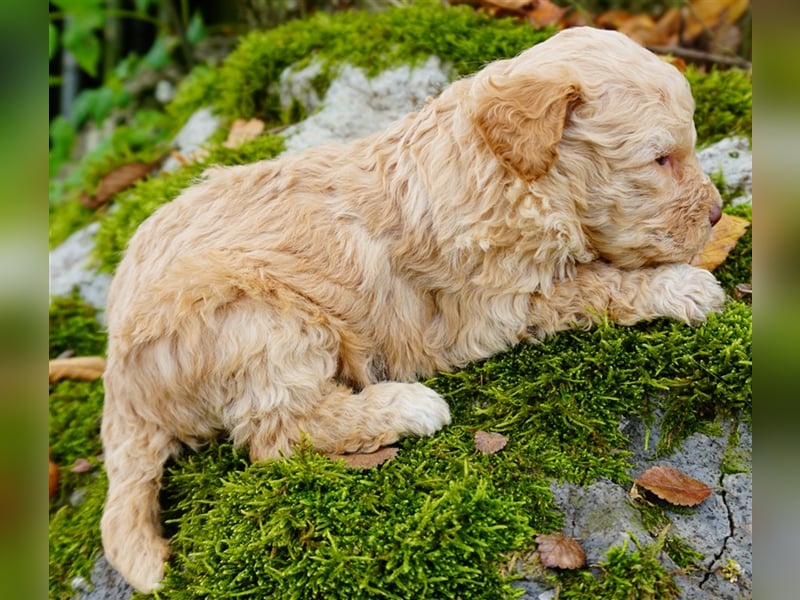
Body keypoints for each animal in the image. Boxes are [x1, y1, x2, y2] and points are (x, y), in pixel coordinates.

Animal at [100, 27, 724, 592]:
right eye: (660, 159)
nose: (718, 214)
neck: (506, 173)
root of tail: (120, 385)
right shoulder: (504, 301)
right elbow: (604, 286)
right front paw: (685, 287)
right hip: (259, 320)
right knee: (277, 434)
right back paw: (407, 406)